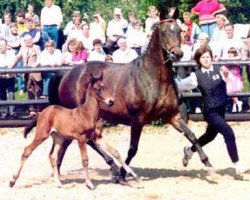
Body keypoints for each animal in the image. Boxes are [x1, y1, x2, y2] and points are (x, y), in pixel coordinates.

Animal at [9, 74, 139, 189]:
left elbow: (115, 152)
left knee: (52, 156)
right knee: (27, 150)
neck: (87, 114)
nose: (111, 101)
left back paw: (58, 183)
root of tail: (44, 112)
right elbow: (85, 160)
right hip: (42, 135)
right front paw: (89, 184)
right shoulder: (81, 139)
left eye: (106, 87)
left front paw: (133, 174)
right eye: (98, 89)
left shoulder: (97, 137)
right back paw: (12, 181)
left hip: (58, 138)